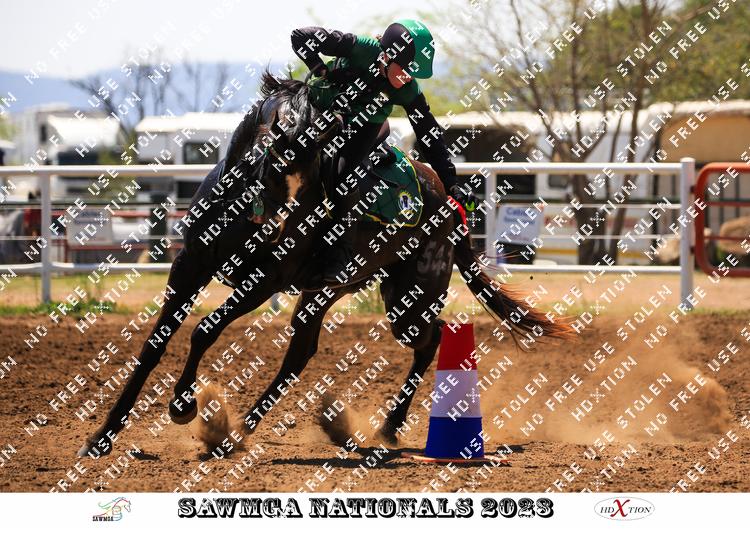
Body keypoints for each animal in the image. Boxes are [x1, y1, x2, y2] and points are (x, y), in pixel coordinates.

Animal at [77, 71, 574, 458]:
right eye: (273, 132)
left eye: (316, 150)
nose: (281, 220)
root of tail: (451, 202)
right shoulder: (188, 267)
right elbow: (154, 345)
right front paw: (102, 436)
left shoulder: (263, 282)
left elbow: (203, 330)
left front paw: (183, 405)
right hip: (331, 292)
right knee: (302, 352)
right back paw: (239, 434)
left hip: (409, 298)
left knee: (429, 341)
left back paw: (388, 427)